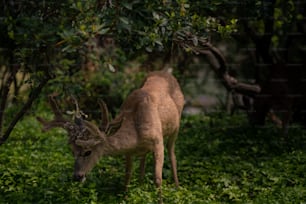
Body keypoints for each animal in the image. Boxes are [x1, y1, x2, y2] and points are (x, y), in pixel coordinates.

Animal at [35, 70, 184, 191]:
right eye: (72, 151)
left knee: (172, 153)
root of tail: (167, 73)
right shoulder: (130, 150)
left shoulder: (158, 142)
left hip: (176, 127)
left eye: (88, 152)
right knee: (143, 158)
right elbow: (127, 176)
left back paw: (177, 187)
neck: (136, 130)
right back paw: (141, 184)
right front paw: (126, 196)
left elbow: (158, 180)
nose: (77, 176)